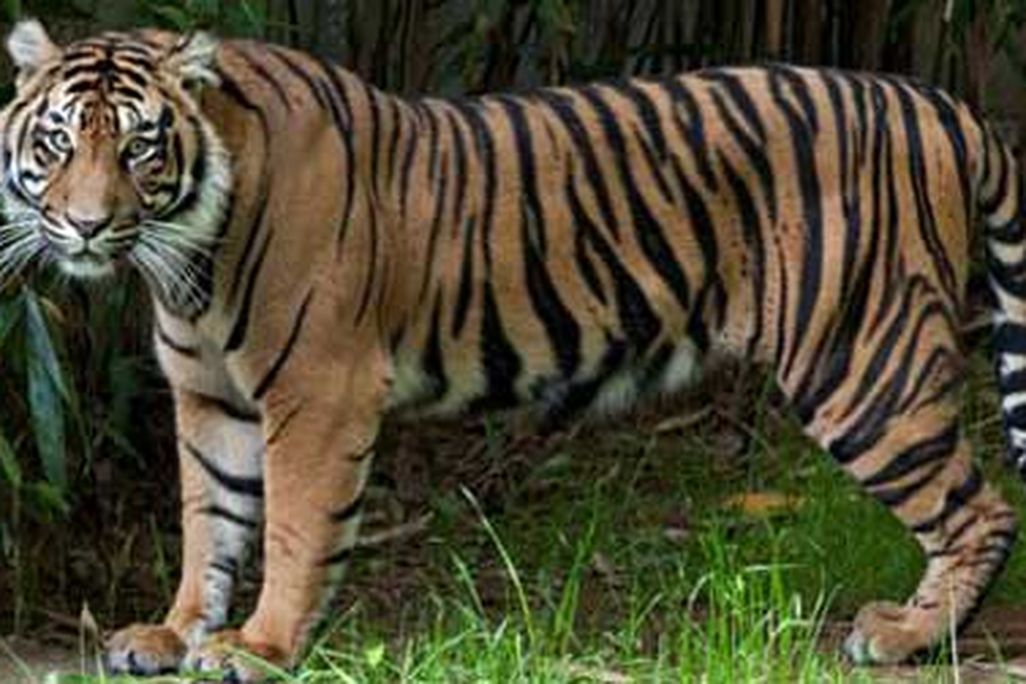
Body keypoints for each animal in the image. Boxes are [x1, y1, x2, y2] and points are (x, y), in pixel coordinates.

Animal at [1, 17, 1023, 682]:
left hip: (864, 361)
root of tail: (943, 101)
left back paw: (909, 638)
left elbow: (289, 528)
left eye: (140, 148)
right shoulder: (209, 398)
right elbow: (208, 522)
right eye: (57, 143)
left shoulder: (317, 393)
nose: (86, 227)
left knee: (982, 511)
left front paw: (260, 648)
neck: (188, 260)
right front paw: (173, 634)